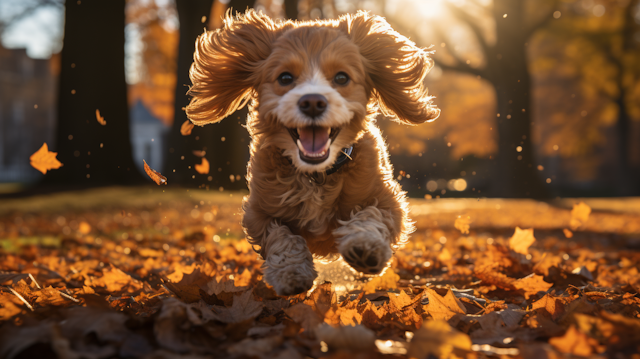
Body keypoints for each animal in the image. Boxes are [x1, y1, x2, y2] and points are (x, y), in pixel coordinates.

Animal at [185, 9, 440, 296]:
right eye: (285, 77)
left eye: (342, 77)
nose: (313, 102)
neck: (315, 175)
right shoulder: (258, 213)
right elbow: (282, 237)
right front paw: (291, 272)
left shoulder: (389, 201)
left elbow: (370, 215)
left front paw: (365, 246)